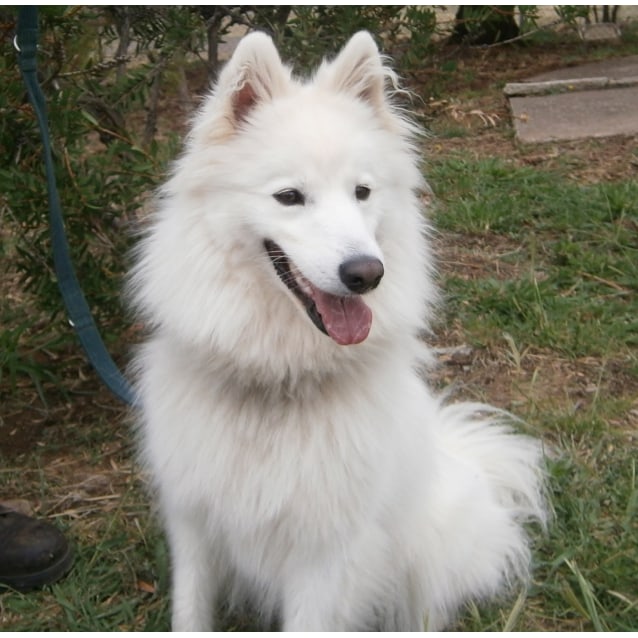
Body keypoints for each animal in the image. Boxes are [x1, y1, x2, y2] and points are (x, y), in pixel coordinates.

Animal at [130, 31, 552, 636]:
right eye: (289, 196)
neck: (278, 382)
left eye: (362, 192)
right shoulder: (193, 527)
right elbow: (190, 614)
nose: (367, 274)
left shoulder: (324, 554)